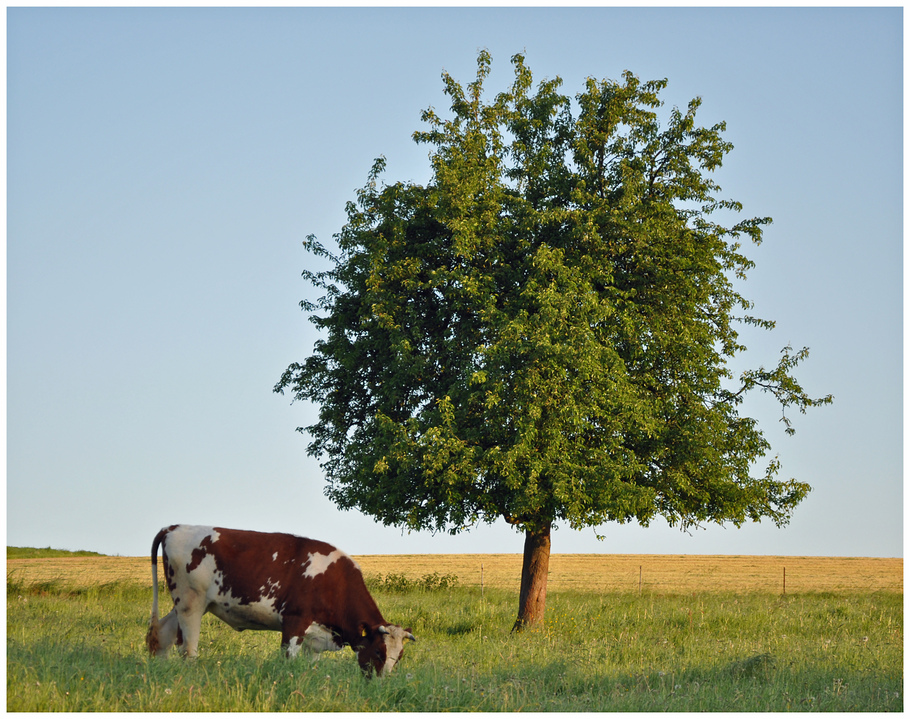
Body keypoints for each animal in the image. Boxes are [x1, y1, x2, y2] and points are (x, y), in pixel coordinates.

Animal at [146, 524, 416, 676]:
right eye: (379, 652)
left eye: (400, 656)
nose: (381, 684)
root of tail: (174, 527)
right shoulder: (295, 621)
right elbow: (288, 660)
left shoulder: (316, 637)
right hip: (191, 603)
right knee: (188, 648)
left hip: (186, 605)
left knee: (163, 634)